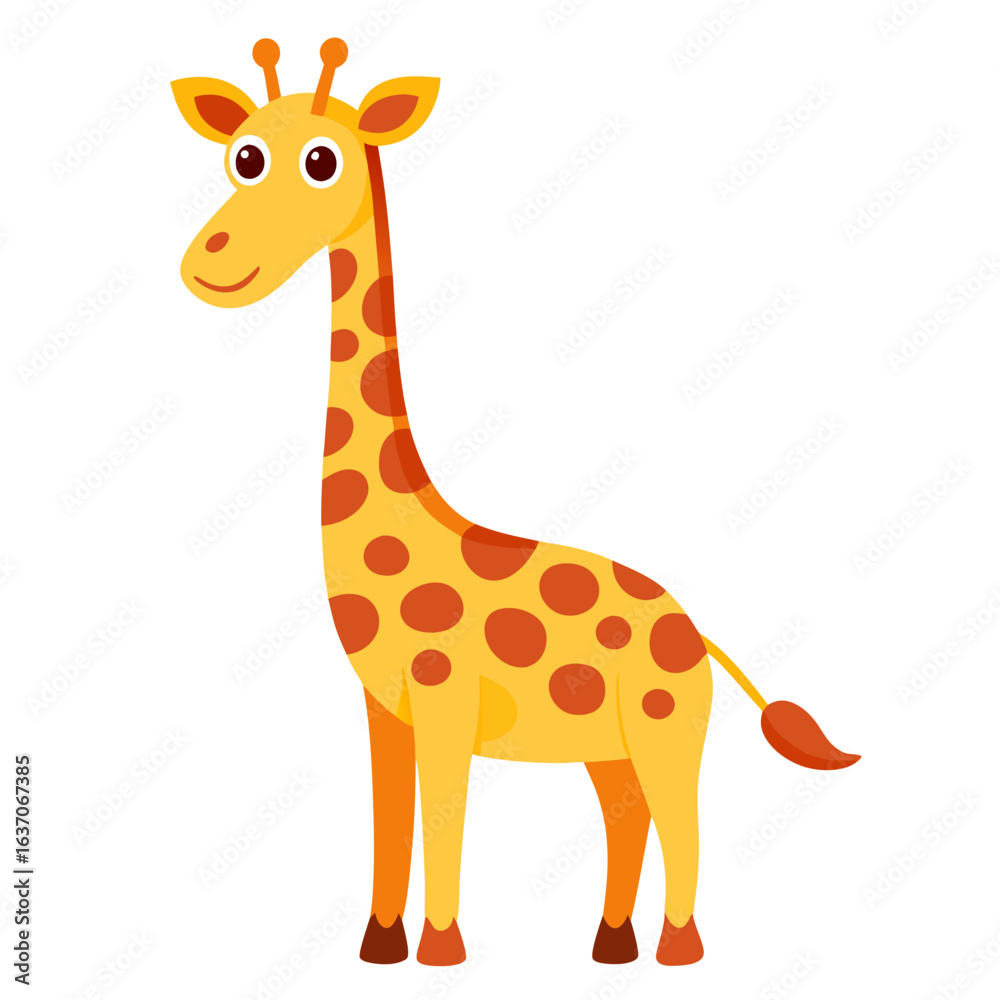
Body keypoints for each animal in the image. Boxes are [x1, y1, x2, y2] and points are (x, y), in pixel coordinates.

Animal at [171, 39, 860, 968]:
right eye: (242, 156)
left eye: (321, 161)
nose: (209, 262)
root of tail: (698, 634)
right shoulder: (382, 708)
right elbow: (390, 820)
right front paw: (378, 947)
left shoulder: (444, 697)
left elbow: (444, 818)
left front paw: (441, 950)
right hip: (609, 746)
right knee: (627, 819)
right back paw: (610, 946)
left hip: (666, 727)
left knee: (683, 821)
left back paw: (677, 952)